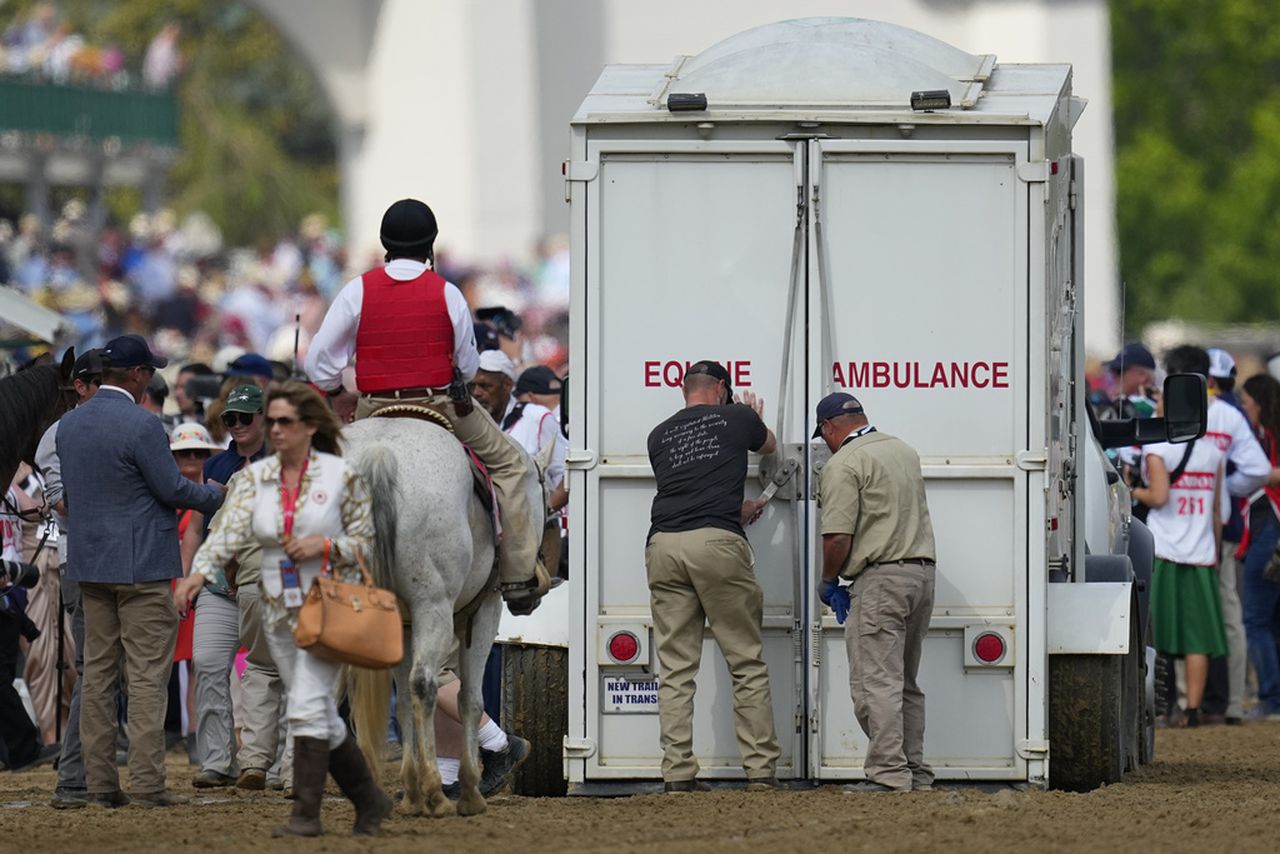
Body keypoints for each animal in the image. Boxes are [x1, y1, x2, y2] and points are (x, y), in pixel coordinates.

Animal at [343, 417, 547, 819]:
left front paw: (411, 791)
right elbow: (470, 697)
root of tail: (379, 454)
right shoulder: (484, 610)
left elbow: (406, 700)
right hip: (434, 606)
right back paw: (438, 793)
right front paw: (468, 791)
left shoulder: (405, 625)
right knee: (425, 682)